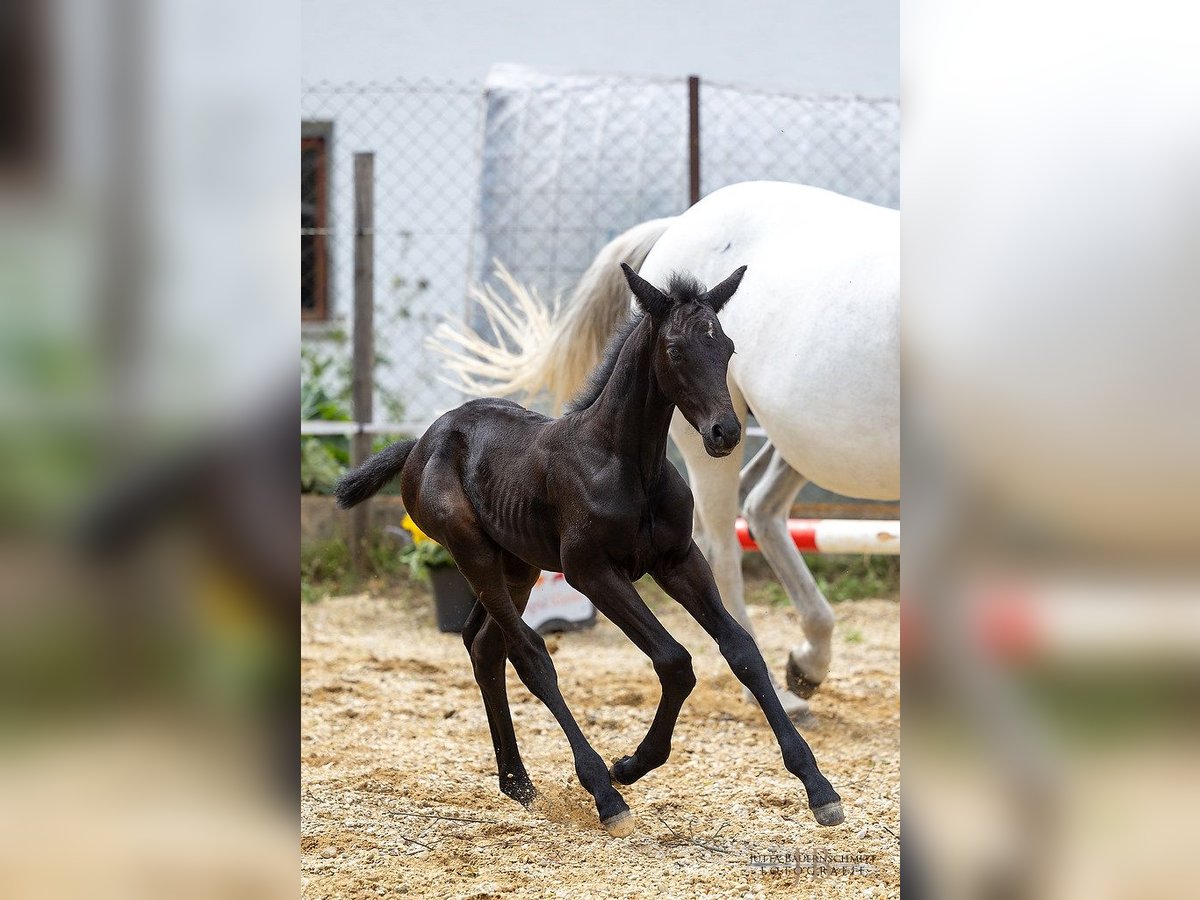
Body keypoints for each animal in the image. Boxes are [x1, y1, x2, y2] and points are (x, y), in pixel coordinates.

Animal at [336, 264, 844, 835]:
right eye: (674, 349)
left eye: (728, 347)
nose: (726, 432)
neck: (626, 462)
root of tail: (421, 442)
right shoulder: (590, 571)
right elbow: (674, 660)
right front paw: (628, 768)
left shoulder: (679, 561)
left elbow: (741, 650)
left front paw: (818, 787)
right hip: (474, 553)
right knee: (530, 655)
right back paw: (600, 790)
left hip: (519, 565)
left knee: (485, 645)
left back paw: (517, 782)